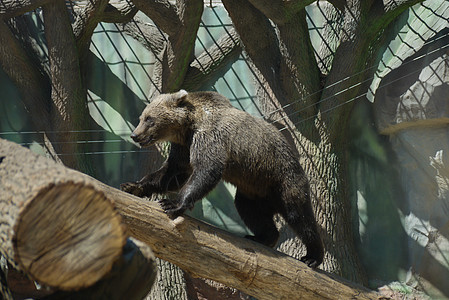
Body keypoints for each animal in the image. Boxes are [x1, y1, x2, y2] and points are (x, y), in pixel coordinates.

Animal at [121, 89, 324, 268]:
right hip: (253, 190)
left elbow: (207, 169)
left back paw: (313, 256)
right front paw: (133, 186)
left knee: (299, 215)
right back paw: (262, 236)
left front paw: (172, 203)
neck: (188, 126)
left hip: (281, 178)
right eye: (142, 117)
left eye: (150, 119)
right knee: (250, 210)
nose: (135, 135)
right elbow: (172, 173)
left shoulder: (210, 137)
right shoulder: (183, 147)